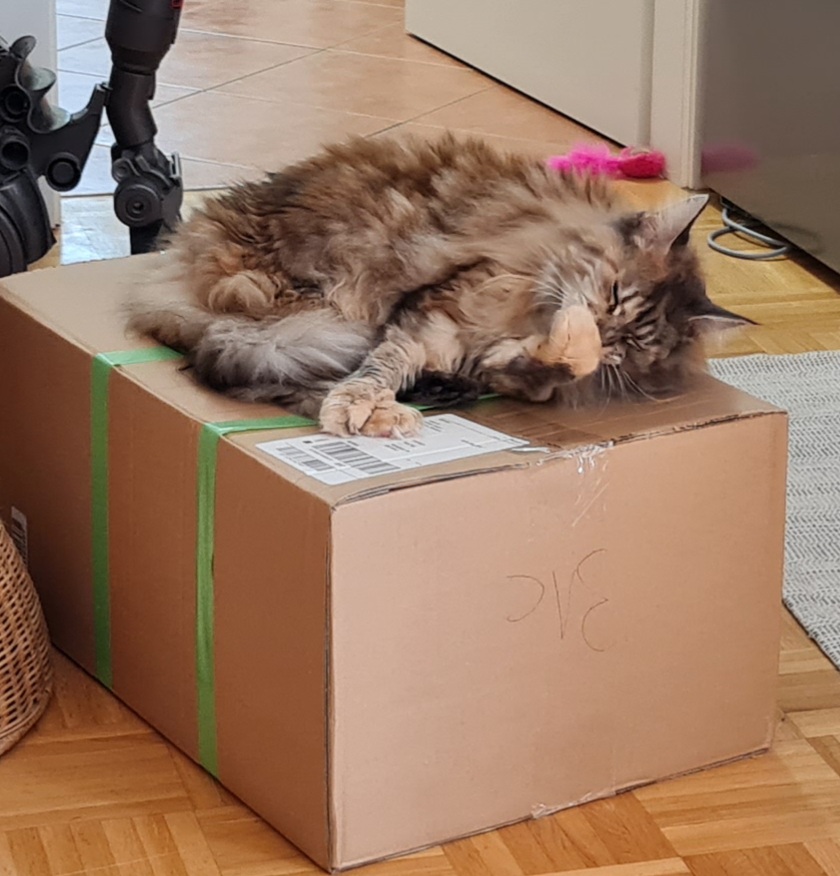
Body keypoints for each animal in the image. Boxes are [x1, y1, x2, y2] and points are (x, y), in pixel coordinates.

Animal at [127, 132, 753, 438]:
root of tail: (170, 263)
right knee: (268, 375)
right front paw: (362, 404)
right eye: (614, 295)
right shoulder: (434, 315)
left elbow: (543, 371)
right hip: (294, 311)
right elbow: (377, 370)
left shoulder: (509, 369)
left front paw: (560, 352)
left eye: (630, 345)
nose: (601, 329)